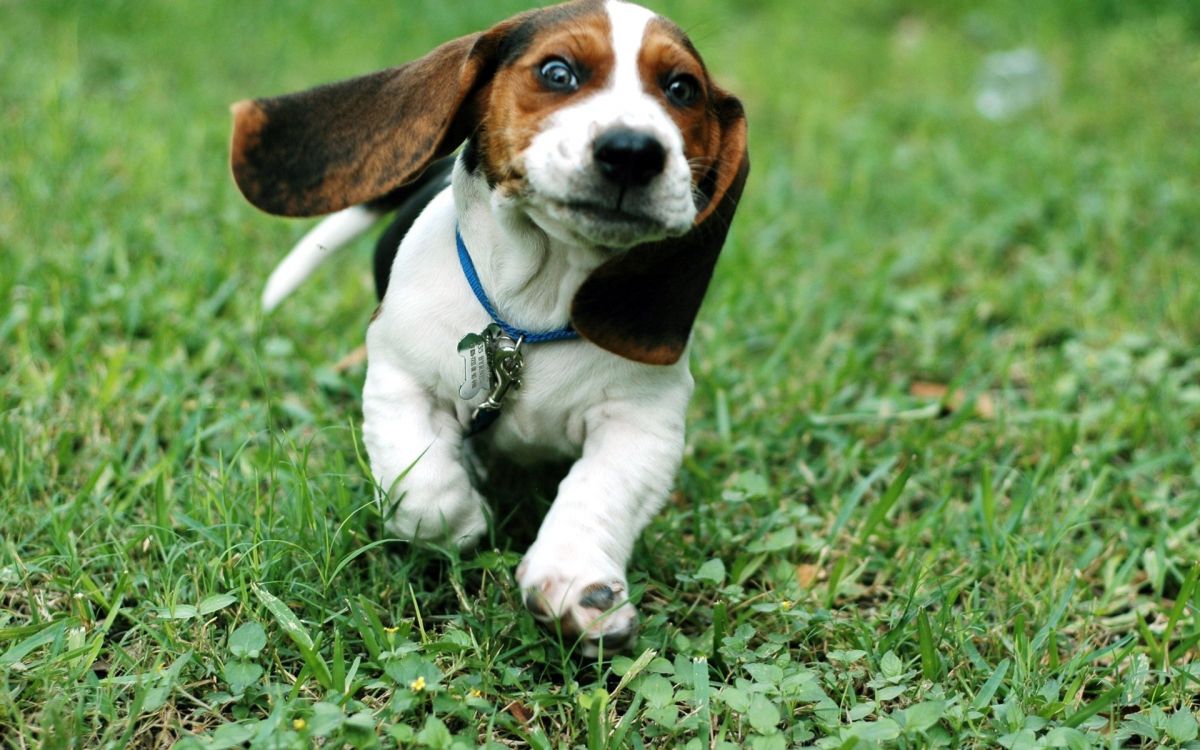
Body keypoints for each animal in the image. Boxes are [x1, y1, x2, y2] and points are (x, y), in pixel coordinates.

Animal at [228, 0, 744, 652]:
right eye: (557, 73)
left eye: (682, 89)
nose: (633, 150)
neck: (533, 309)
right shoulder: (400, 376)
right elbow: (423, 486)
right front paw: (464, 520)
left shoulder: (643, 422)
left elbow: (599, 492)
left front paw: (576, 583)